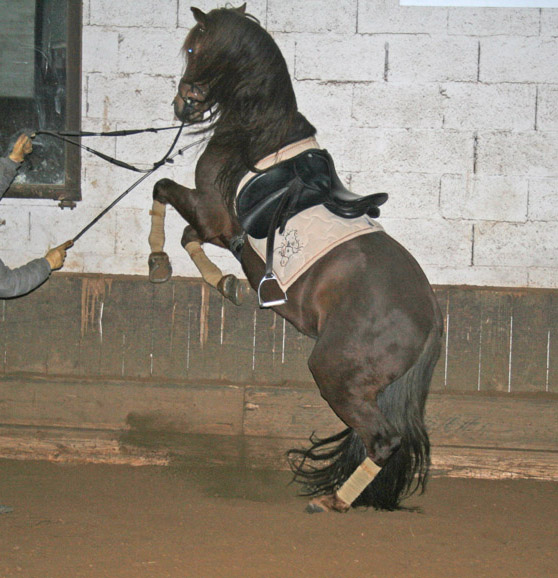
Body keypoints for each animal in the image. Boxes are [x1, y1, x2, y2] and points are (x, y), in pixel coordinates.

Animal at [147, 4, 444, 513]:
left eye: (193, 47)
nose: (183, 105)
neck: (257, 136)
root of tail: (427, 313)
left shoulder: (213, 214)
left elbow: (162, 192)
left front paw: (157, 259)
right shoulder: (216, 226)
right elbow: (189, 236)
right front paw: (222, 281)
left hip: (334, 372)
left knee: (382, 439)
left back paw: (334, 501)